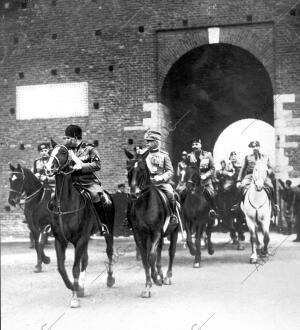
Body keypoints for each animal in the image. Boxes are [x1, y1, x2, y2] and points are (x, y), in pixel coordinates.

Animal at [45, 144, 115, 306]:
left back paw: (109, 279)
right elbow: (61, 268)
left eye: (64, 152)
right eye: (51, 151)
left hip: (108, 232)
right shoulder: (60, 240)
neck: (64, 205)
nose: (49, 168)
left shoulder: (80, 239)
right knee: (86, 259)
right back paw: (81, 286)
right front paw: (73, 287)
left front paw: (74, 296)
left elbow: (75, 268)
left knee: (109, 252)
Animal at [124, 148, 178, 298]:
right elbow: (145, 258)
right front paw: (148, 286)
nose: (134, 194)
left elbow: (151, 256)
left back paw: (167, 277)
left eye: (142, 169)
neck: (144, 204)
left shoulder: (156, 231)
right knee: (159, 250)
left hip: (174, 231)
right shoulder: (139, 234)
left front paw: (155, 279)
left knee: (171, 252)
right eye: (128, 169)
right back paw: (160, 274)